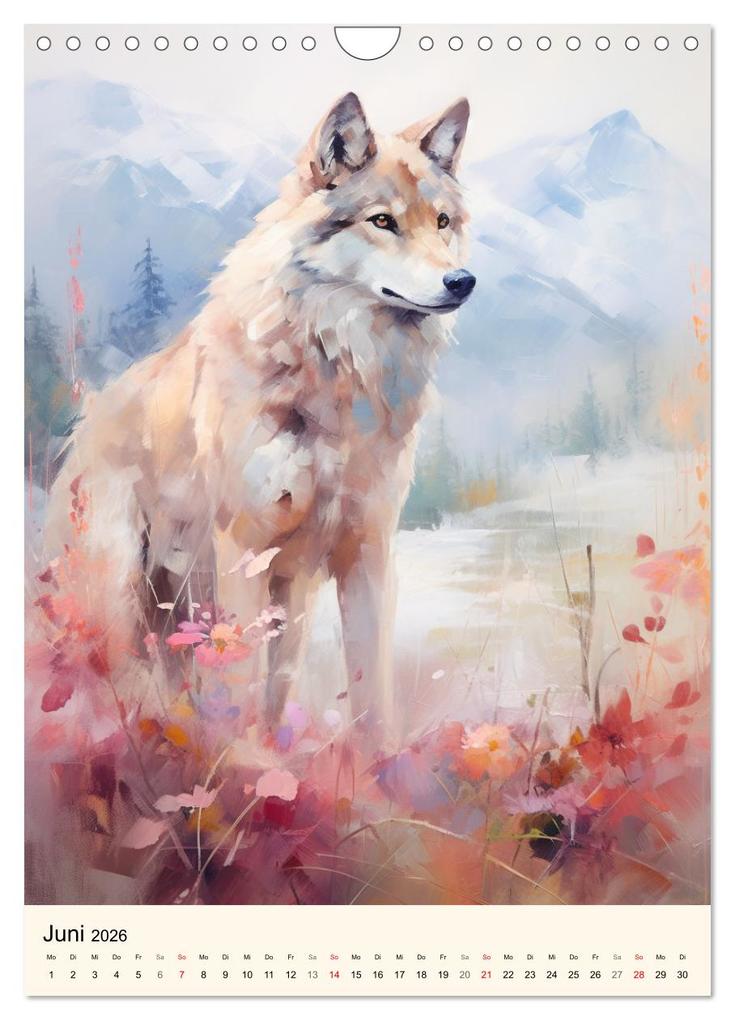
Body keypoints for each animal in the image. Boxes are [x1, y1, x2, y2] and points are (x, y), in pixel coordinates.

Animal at [43, 92, 475, 744]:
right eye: (382, 222)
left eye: (443, 222)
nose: (462, 281)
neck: (338, 373)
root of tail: (82, 430)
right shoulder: (243, 550)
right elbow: (239, 684)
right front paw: (246, 764)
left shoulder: (367, 550)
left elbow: (371, 691)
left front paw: (382, 771)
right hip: (120, 594)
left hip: (276, 605)